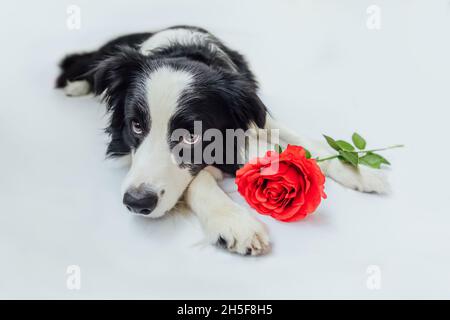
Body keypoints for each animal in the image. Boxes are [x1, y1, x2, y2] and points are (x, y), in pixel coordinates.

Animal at [56, 25, 386, 256]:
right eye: (136, 125)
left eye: (191, 135)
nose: (137, 203)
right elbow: (197, 179)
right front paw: (234, 222)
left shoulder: (259, 116)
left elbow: (302, 141)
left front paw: (360, 171)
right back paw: (76, 86)